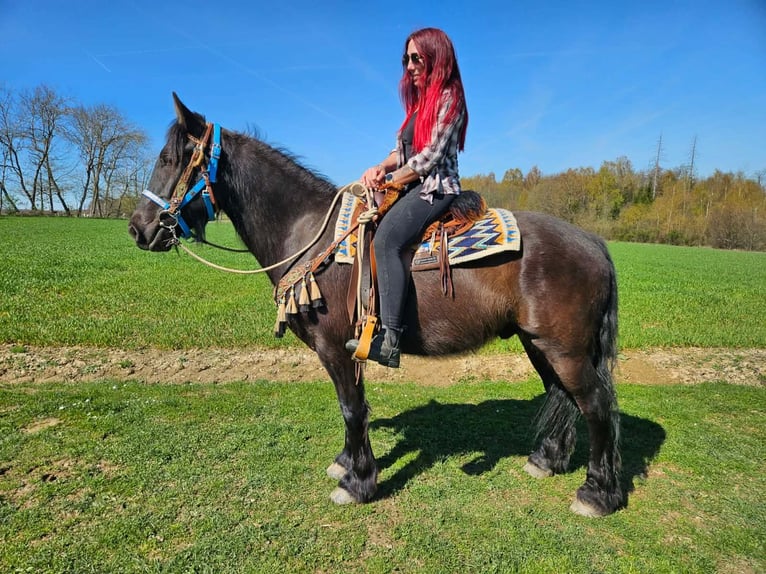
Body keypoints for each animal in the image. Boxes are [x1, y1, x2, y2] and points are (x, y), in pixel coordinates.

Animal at [129, 94, 623, 517]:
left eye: (170, 160)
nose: (137, 228)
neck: (309, 235)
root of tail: (594, 242)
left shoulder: (336, 347)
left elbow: (352, 408)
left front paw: (358, 483)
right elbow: (351, 407)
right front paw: (347, 462)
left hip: (564, 348)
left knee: (596, 405)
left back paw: (597, 494)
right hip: (539, 344)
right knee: (563, 394)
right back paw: (547, 460)